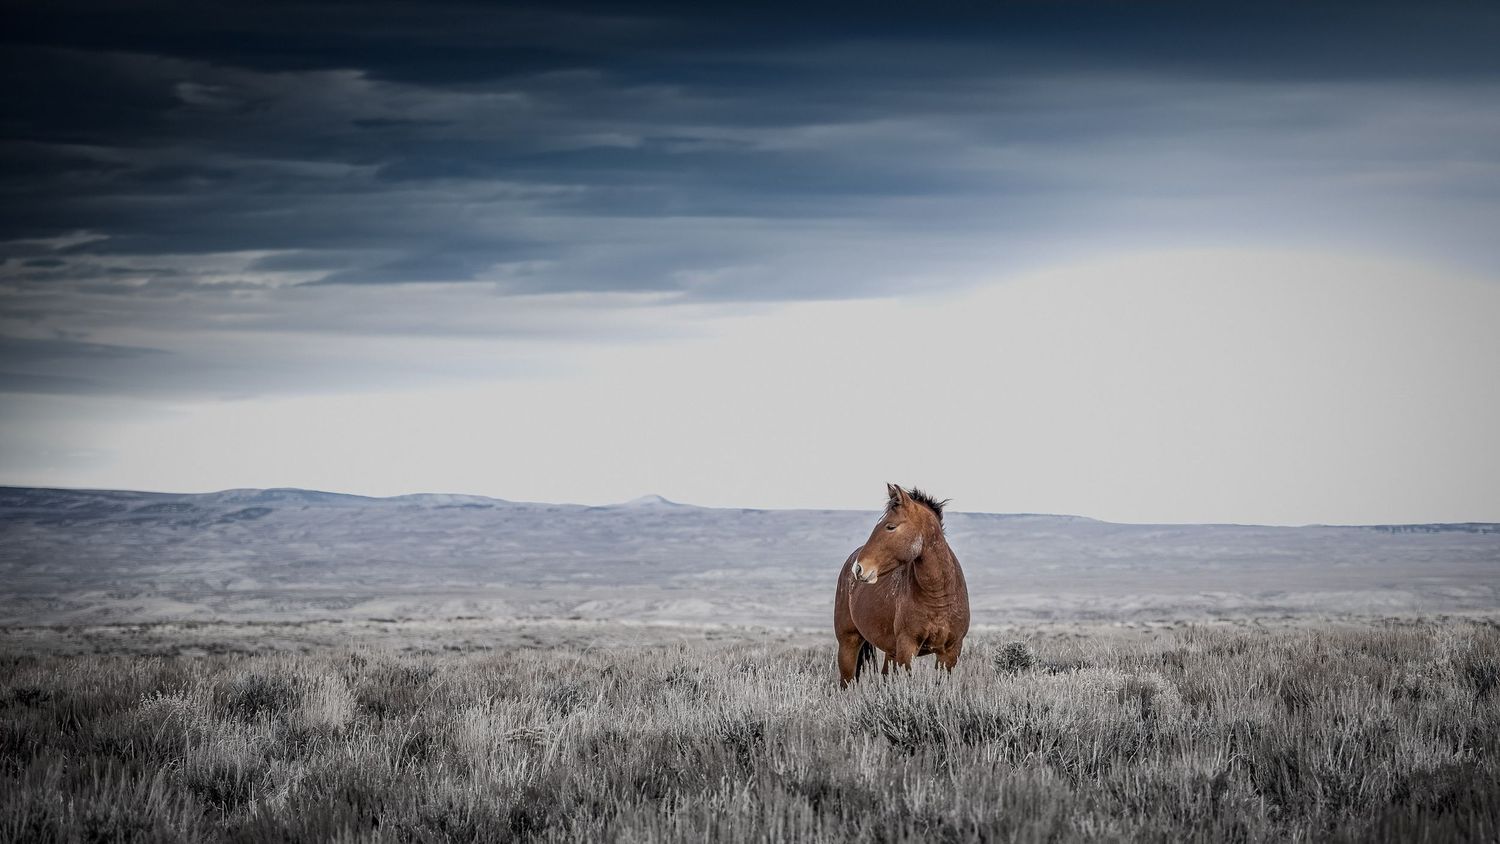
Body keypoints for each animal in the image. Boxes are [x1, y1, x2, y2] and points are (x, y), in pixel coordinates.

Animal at [834, 483, 970, 687]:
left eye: (890, 526)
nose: (859, 568)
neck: (938, 597)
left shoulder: (950, 652)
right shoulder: (907, 648)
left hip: (890, 651)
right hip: (848, 642)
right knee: (847, 681)